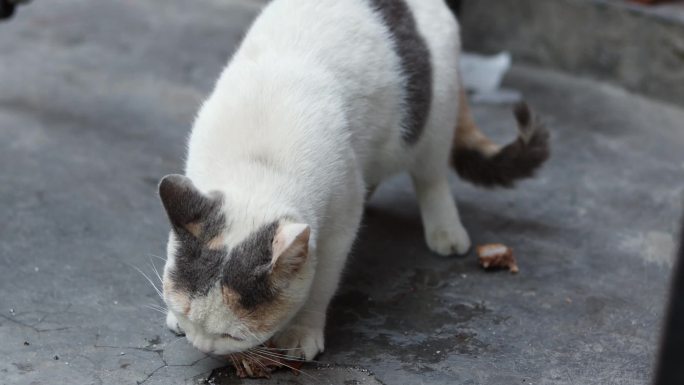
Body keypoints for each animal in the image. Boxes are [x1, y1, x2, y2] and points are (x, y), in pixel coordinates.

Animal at [158, 0, 548, 360]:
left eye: (231, 336)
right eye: (187, 314)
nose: (202, 346)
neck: (257, 165)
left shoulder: (338, 222)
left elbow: (322, 281)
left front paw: (301, 332)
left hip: (433, 117)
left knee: (431, 175)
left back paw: (445, 231)